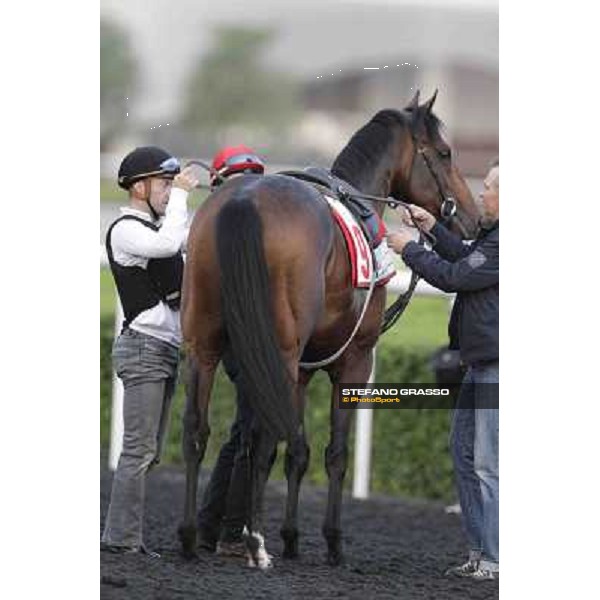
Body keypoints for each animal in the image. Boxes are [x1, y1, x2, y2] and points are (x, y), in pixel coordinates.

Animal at [177, 90, 478, 568]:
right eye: (445, 153)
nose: (471, 219)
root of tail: (244, 202)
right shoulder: (354, 360)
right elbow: (334, 452)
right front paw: (332, 541)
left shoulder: (303, 369)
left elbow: (298, 451)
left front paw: (292, 537)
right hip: (277, 354)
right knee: (260, 440)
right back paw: (255, 543)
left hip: (203, 345)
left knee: (197, 430)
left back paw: (192, 537)